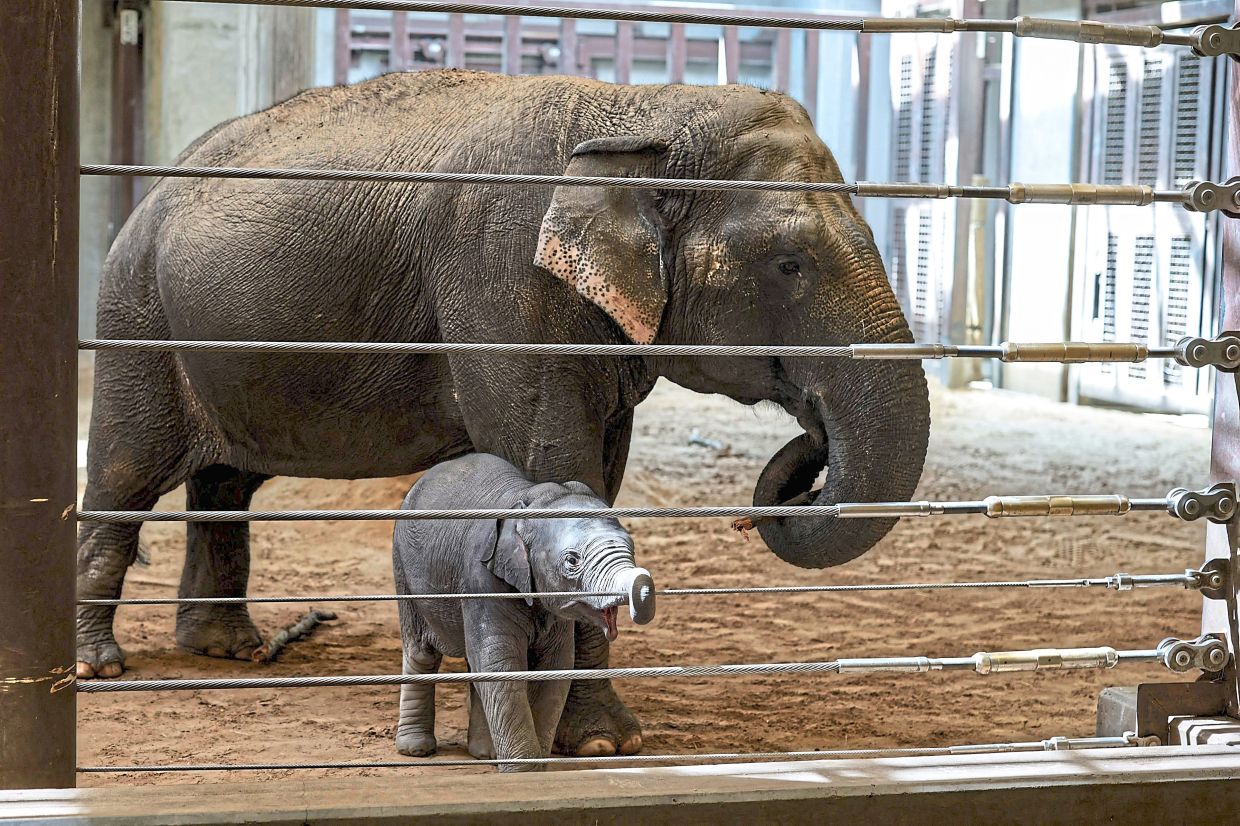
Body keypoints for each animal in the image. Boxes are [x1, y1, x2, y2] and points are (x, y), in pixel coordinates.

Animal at [391, 452, 656, 770]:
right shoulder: (481, 578)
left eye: (632, 545)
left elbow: (554, 667)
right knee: (422, 653)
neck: (529, 498)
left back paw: (485, 754)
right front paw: (523, 770)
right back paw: (416, 749)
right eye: (572, 560)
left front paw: (536, 765)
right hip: (403, 572)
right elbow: (501, 662)